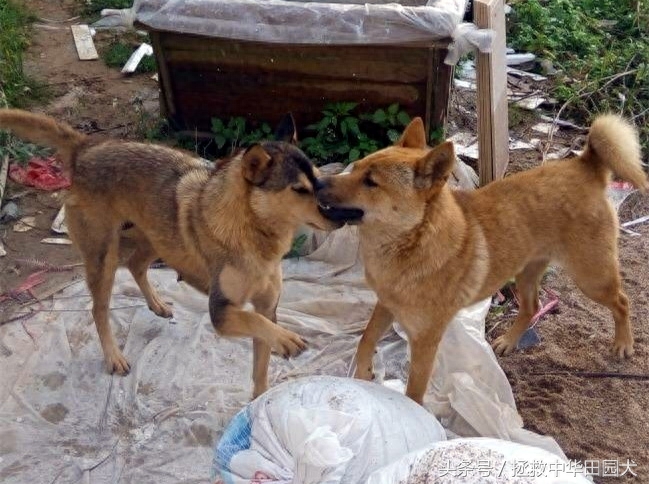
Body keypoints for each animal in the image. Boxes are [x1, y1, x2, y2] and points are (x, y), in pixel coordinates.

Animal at [0, 109, 342, 398]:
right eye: (299, 190)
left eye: (318, 178)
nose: (342, 215)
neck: (253, 231)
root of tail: (87, 146)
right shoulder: (221, 312)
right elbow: (256, 322)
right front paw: (286, 339)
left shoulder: (267, 307)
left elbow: (261, 360)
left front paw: (258, 403)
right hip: (103, 257)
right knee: (99, 308)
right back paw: (113, 356)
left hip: (158, 237)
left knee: (136, 265)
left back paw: (157, 304)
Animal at [314, 114, 644, 404]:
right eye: (356, 167)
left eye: (370, 182)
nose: (316, 183)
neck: (412, 242)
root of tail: (584, 164)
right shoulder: (386, 304)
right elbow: (366, 338)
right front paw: (364, 370)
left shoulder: (425, 341)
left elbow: (415, 392)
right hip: (526, 273)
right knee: (532, 307)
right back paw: (508, 341)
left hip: (592, 279)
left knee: (623, 301)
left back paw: (624, 344)